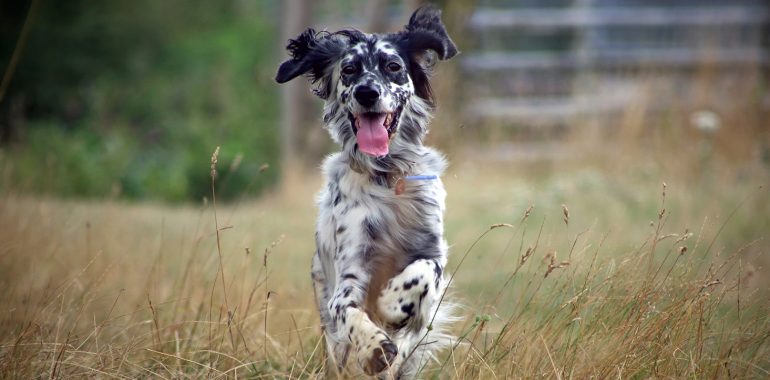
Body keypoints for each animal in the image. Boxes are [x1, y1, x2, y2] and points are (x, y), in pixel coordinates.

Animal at [276, 7, 456, 378]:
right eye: (348, 70)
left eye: (393, 66)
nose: (367, 93)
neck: (387, 177)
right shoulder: (350, 273)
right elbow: (347, 309)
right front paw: (374, 346)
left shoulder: (433, 250)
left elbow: (424, 272)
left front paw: (392, 303)